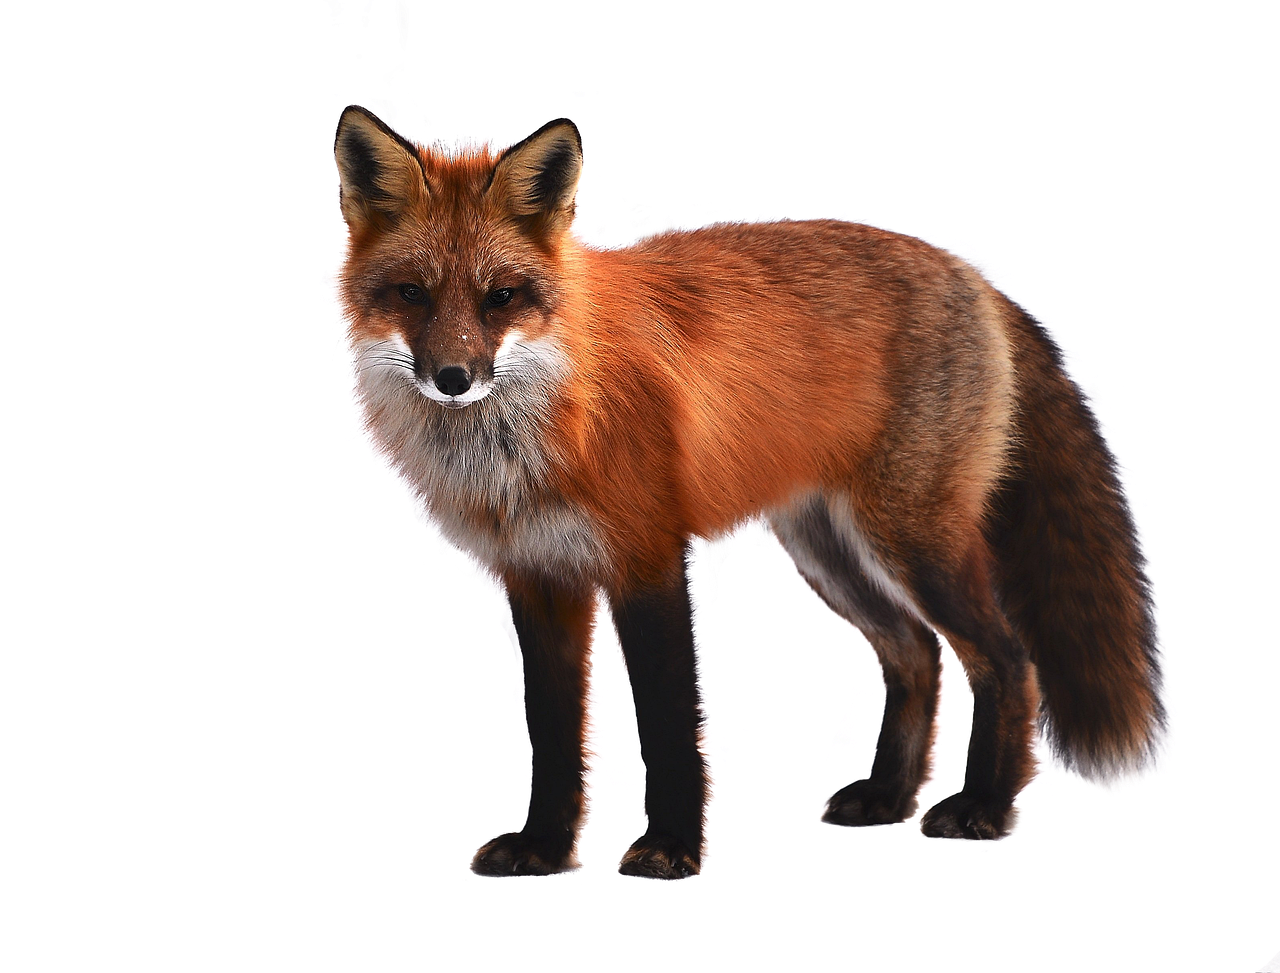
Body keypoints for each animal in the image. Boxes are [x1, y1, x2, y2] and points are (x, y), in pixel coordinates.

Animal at [328, 104, 1176, 880]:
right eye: (411, 293)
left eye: (500, 297)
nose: (453, 378)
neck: (541, 421)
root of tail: (975, 274)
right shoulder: (539, 577)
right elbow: (553, 728)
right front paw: (544, 848)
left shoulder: (645, 559)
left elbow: (670, 719)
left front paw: (671, 849)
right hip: (832, 553)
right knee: (917, 657)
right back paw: (888, 798)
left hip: (913, 544)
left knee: (1007, 659)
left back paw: (985, 810)